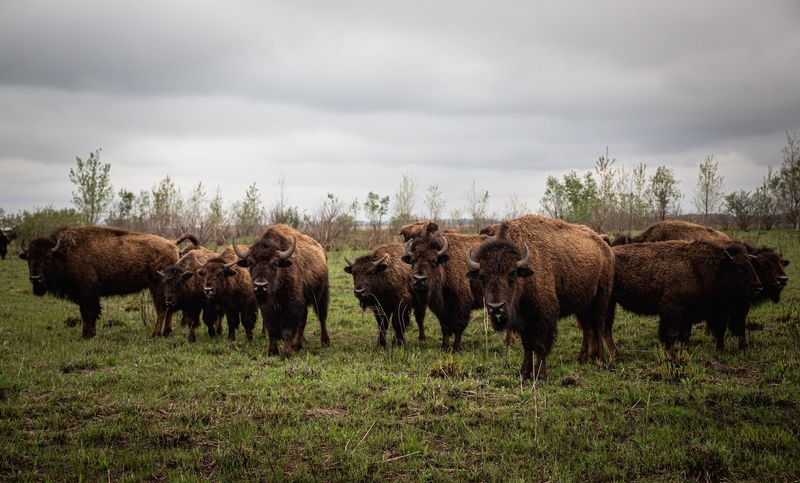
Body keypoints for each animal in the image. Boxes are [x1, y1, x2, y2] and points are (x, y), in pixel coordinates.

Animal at [233, 224, 330, 357]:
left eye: (275, 263)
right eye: (250, 262)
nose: (260, 285)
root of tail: (322, 251)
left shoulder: (292, 306)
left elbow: (287, 330)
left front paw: (286, 353)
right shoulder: (267, 308)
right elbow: (272, 330)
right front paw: (272, 351)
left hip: (321, 296)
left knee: (322, 317)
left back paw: (325, 341)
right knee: (303, 321)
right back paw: (297, 344)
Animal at [466, 215, 615, 379]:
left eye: (512, 274)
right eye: (481, 276)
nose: (496, 308)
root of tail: (604, 246)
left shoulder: (544, 316)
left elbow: (540, 345)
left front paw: (540, 374)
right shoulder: (523, 319)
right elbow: (527, 344)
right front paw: (524, 372)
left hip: (601, 299)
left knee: (598, 326)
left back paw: (602, 360)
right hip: (583, 306)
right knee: (587, 329)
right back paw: (582, 359)